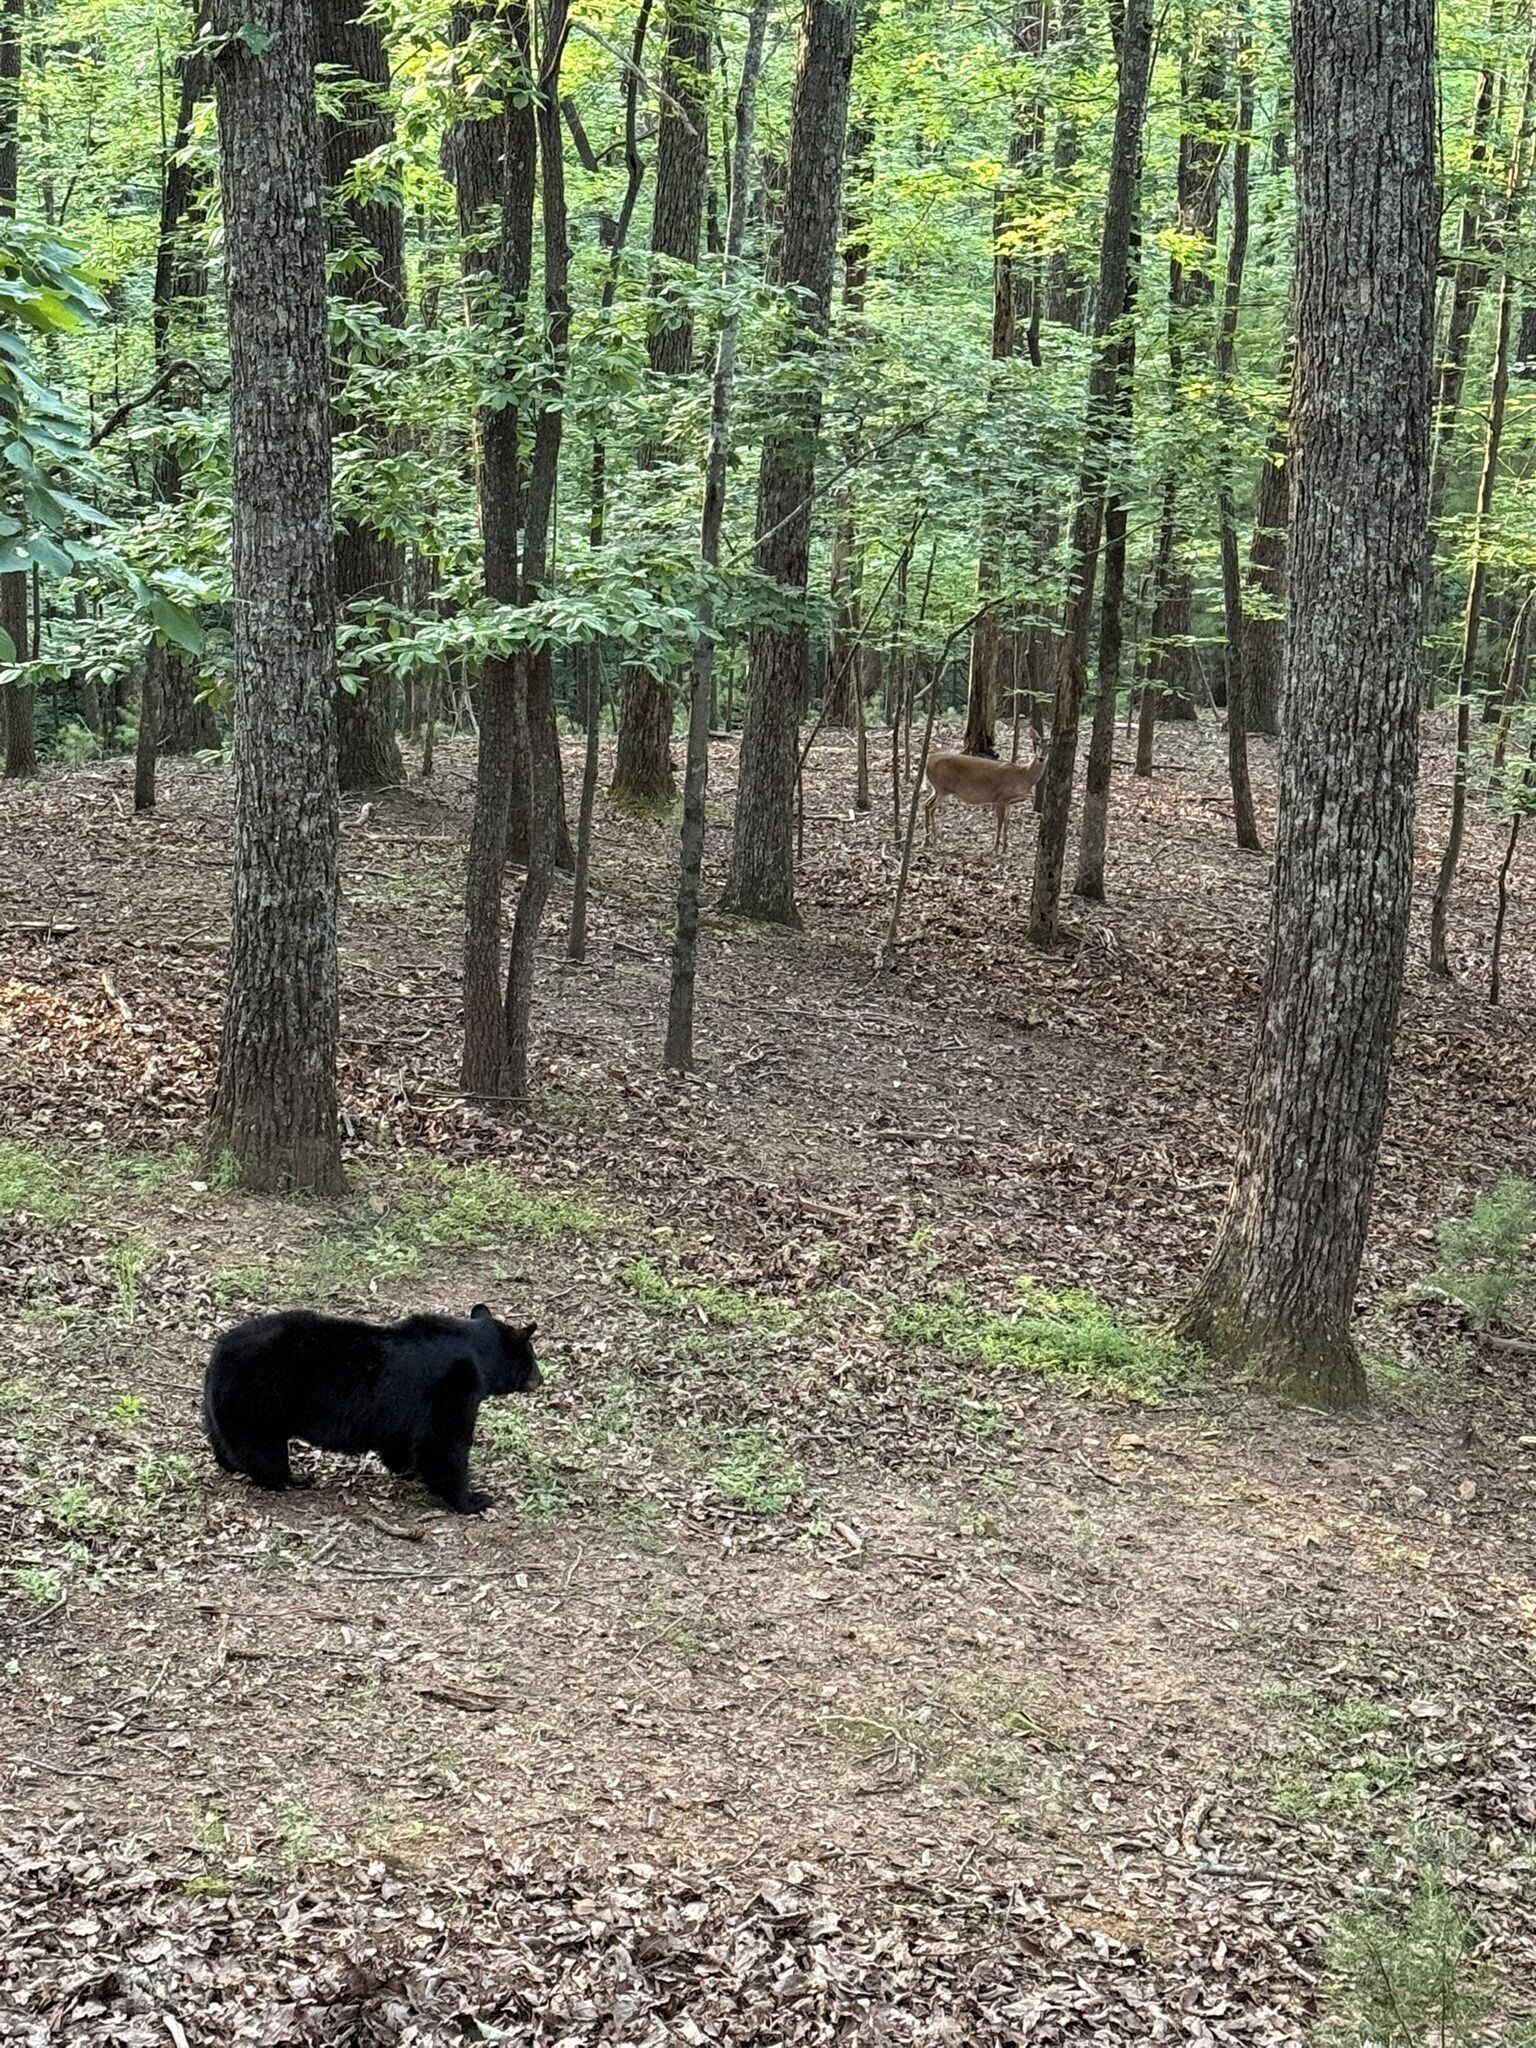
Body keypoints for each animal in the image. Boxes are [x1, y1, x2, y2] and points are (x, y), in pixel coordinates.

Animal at [201, 1304, 540, 1514]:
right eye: (532, 1357)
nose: (541, 1378)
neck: (476, 1354)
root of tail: (217, 1353)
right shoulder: (453, 1386)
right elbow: (442, 1445)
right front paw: (473, 1499)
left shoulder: (404, 1409)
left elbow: (401, 1442)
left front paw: (407, 1469)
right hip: (259, 1400)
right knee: (261, 1450)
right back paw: (291, 1479)